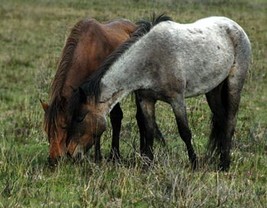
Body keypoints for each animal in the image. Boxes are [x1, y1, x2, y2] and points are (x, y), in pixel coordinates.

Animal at [41, 17, 160, 165]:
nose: (53, 159)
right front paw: (98, 156)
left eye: (64, 126)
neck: (88, 51)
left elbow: (114, 118)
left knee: (140, 117)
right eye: (47, 129)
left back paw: (142, 151)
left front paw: (112, 156)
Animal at [66, 14, 252, 171]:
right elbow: (149, 132)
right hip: (213, 90)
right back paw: (218, 159)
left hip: (234, 84)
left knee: (230, 121)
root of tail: (235, 26)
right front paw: (147, 165)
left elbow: (185, 132)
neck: (150, 59)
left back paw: (224, 165)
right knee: (221, 119)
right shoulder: (146, 100)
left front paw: (194, 164)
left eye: (80, 117)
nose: (70, 153)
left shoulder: (177, 99)